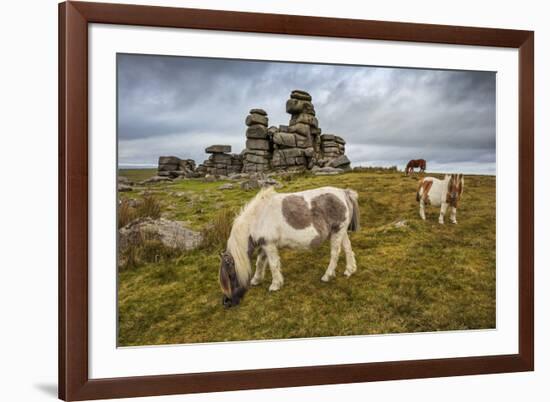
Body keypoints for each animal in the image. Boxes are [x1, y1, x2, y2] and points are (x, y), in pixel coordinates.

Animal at [220, 187, 362, 306]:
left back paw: (327, 276)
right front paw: (256, 279)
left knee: (335, 253)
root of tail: (344, 193)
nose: (227, 302)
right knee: (348, 249)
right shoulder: (265, 245)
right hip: (341, 232)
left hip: (337, 231)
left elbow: (273, 264)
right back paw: (349, 270)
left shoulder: (269, 245)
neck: (257, 218)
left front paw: (275, 285)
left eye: (230, 276)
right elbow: (260, 262)